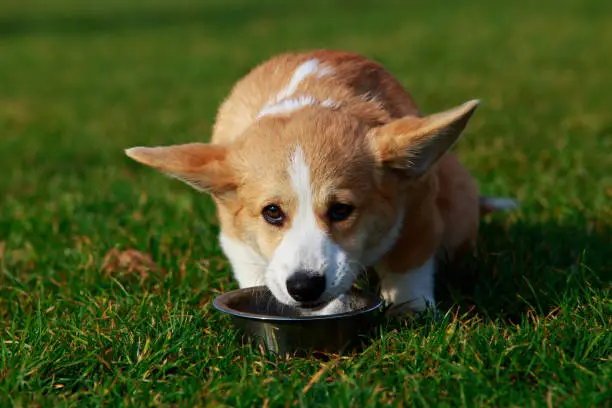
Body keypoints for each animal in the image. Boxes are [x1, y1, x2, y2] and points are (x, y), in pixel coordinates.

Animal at [125, 50, 516, 316]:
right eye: (272, 212)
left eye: (341, 210)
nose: (304, 287)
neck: (311, 95)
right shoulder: (234, 236)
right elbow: (255, 272)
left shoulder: (418, 210)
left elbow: (409, 267)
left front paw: (410, 312)